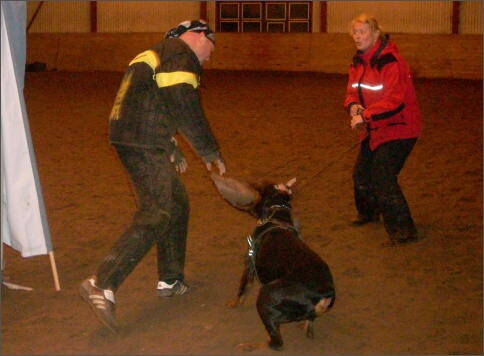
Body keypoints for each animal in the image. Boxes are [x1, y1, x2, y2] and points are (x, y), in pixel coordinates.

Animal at [212, 174, 336, 352]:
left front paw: (234, 303)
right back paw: (303, 327)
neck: (277, 215)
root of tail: (324, 295)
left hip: (266, 297)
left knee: (276, 343)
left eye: (258, 185)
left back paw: (251, 346)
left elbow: (242, 289)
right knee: (309, 325)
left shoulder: (249, 264)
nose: (248, 183)